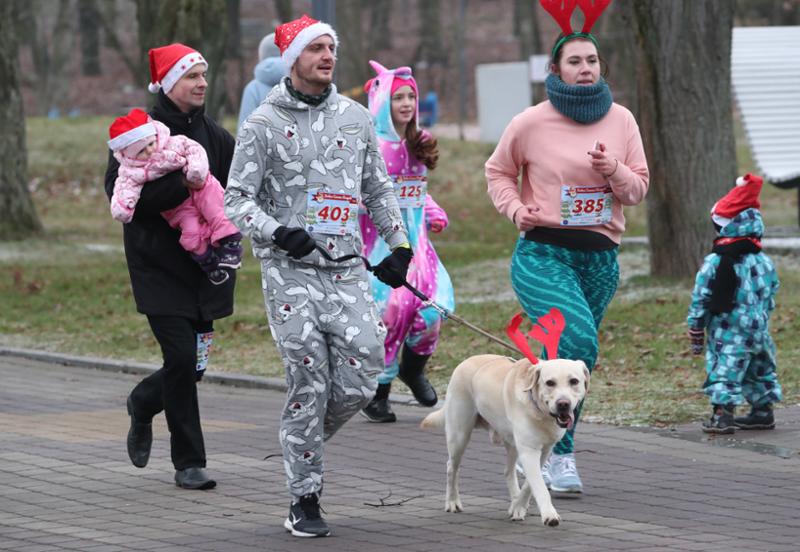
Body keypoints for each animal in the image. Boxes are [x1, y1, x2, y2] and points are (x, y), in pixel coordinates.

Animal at [420, 354, 589, 527]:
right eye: (550, 383)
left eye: (574, 381)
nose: (563, 404)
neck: (540, 413)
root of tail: (466, 360)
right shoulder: (529, 451)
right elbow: (539, 486)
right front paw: (549, 514)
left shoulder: (544, 450)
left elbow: (529, 484)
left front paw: (518, 506)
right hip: (459, 435)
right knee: (451, 468)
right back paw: (452, 502)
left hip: (511, 443)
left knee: (508, 470)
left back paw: (515, 500)